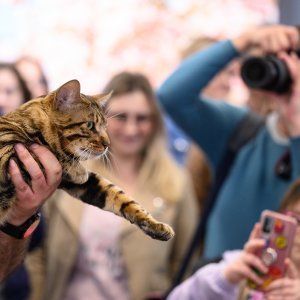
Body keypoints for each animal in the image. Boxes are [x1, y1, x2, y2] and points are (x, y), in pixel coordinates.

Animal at [0, 79, 173, 241]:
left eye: (105, 126)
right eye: (90, 125)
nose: (108, 144)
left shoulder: (82, 184)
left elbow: (121, 197)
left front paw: (156, 225)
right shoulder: (6, 156)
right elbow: (48, 152)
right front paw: (76, 169)